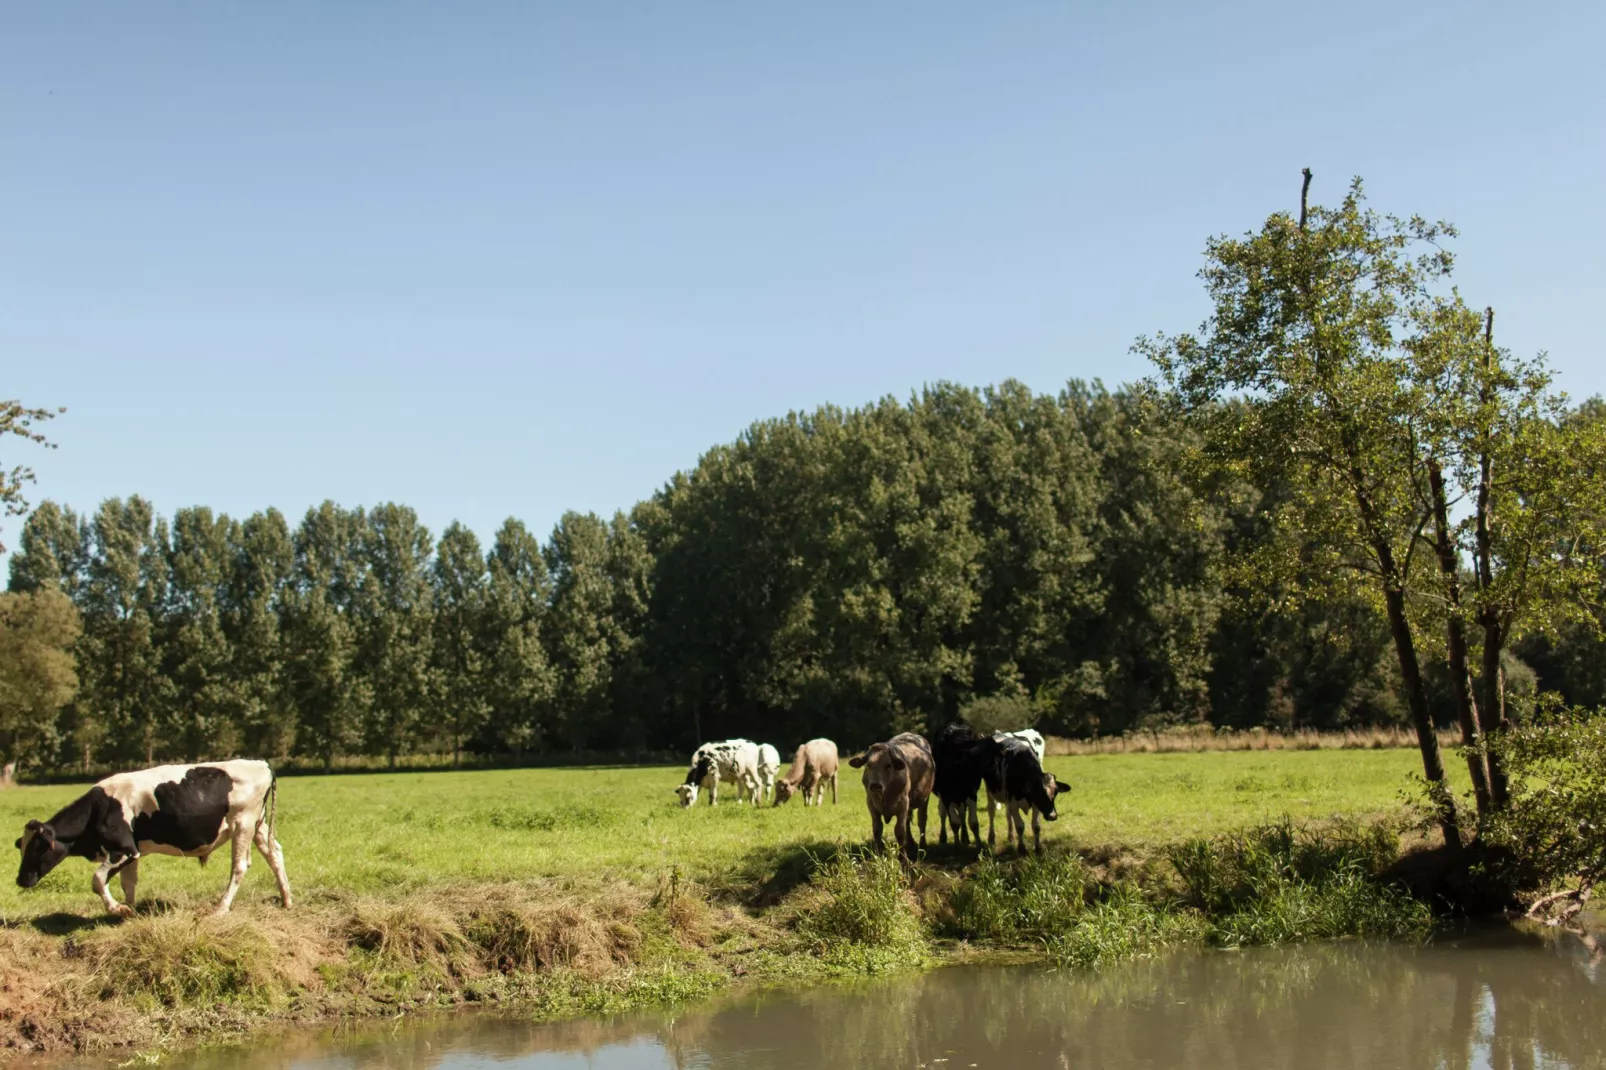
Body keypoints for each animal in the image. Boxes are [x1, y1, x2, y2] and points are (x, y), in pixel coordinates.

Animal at [14, 755, 292, 912]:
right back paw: (286, 899)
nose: (20, 880)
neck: (99, 807)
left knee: (240, 866)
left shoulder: (123, 849)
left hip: (242, 823)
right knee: (275, 853)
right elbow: (128, 882)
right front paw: (129, 909)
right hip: (258, 825)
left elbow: (98, 880)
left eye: (37, 847)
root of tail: (261, 763)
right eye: (22, 847)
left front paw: (117, 909)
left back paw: (221, 907)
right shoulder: (133, 851)